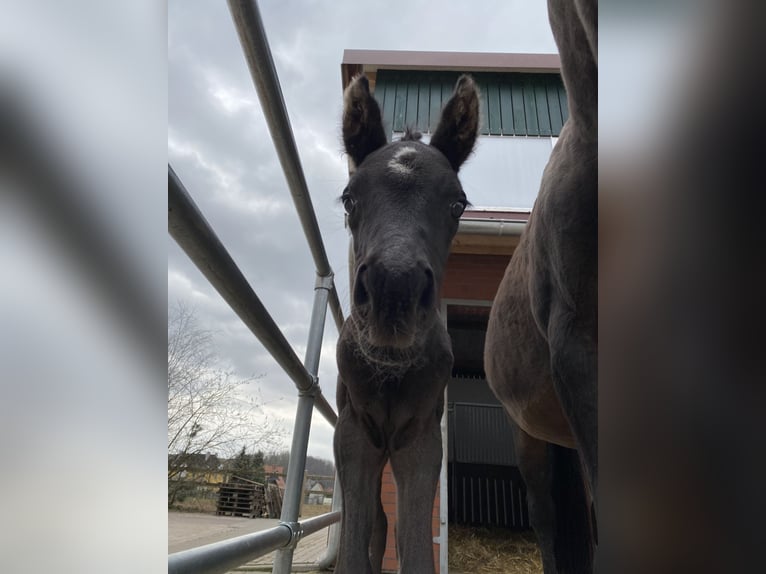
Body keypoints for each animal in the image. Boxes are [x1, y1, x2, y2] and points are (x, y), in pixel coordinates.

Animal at [334, 73, 479, 574]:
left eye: (458, 203)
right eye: (349, 198)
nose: (393, 291)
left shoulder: (420, 439)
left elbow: (414, 545)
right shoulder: (355, 434)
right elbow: (357, 543)